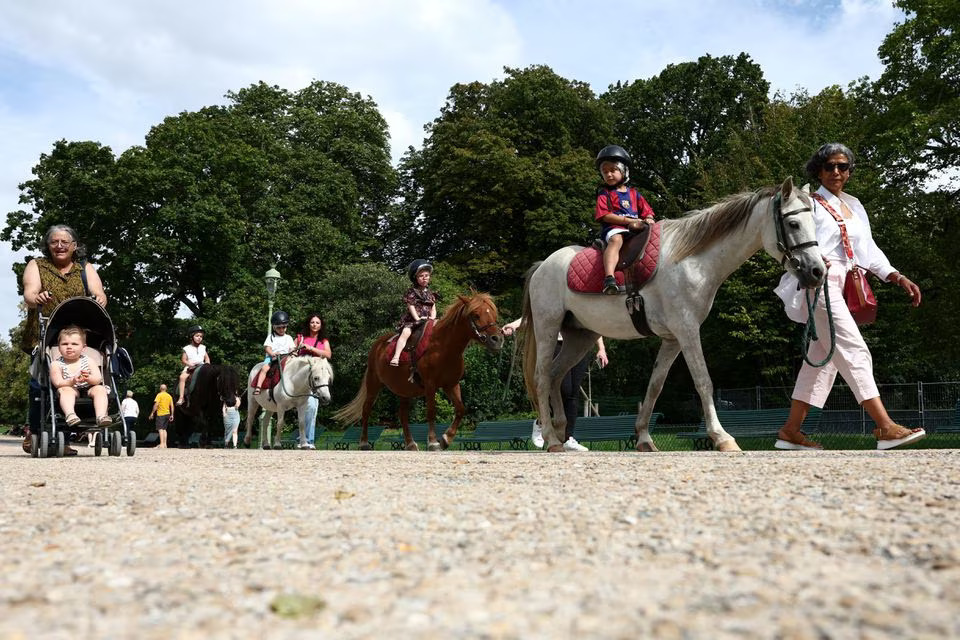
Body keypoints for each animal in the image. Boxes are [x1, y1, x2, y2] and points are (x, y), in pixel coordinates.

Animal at [336, 292, 506, 448]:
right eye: (476, 315)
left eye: (493, 313)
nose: (497, 339)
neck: (443, 347)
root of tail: (377, 345)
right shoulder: (430, 385)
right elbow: (431, 411)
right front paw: (433, 442)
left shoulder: (451, 384)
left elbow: (460, 409)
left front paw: (446, 439)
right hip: (373, 383)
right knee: (366, 410)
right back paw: (364, 443)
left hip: (404, 389)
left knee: (403, 415)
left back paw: (410, 443)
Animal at [520, 178, 828, 452]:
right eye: (793, 223)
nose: (817, 271)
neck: (692, 260)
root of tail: (542, 265)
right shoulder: (687, 330)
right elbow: (703, 381)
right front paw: (722, 437)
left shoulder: (672, 339)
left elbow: (655, 387)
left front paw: (644, 439)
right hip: (549, 329)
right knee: (542, 378)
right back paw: (551, 438)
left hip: (580, 337)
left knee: (555, 376)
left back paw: (559, 434)